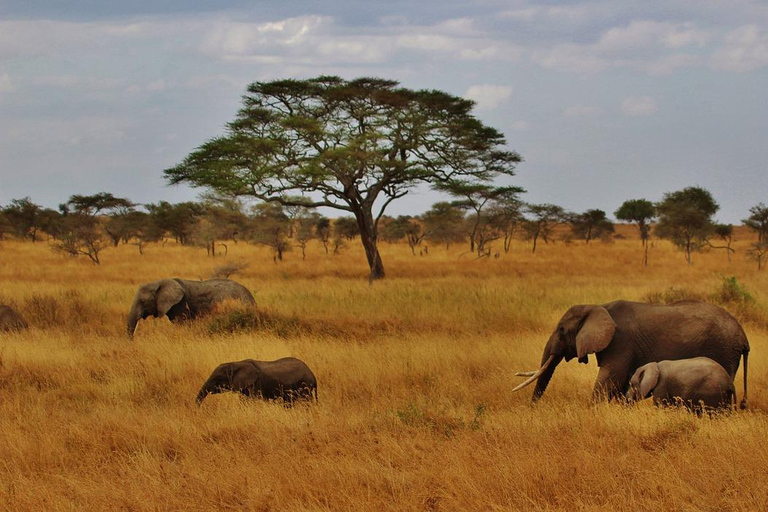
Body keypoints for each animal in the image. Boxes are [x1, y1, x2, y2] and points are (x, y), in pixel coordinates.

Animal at [512, 300, 748, 408]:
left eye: (561, 330)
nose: (532, 408)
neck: (597, 307)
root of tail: (744, 337)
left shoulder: (619, 342)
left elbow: (610, 379)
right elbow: (619, 383)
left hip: (723, 349)